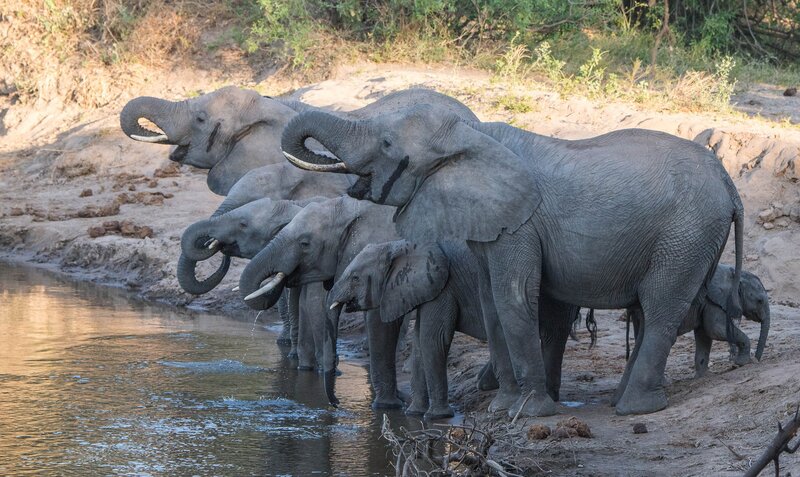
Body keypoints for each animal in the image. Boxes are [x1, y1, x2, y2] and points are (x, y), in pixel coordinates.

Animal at [279, 103, 744, 417]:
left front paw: (531, 413)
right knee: (649, 313)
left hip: (686, 234)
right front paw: (503, 408)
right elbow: (491, 302)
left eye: (387, 144)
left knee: (661, 306)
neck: (473, 133)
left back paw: (635, 409)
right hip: (688, 238)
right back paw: (621, 402)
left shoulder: (520, 224)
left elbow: (513, 296)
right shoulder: (492, 225)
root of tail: (728, 180)